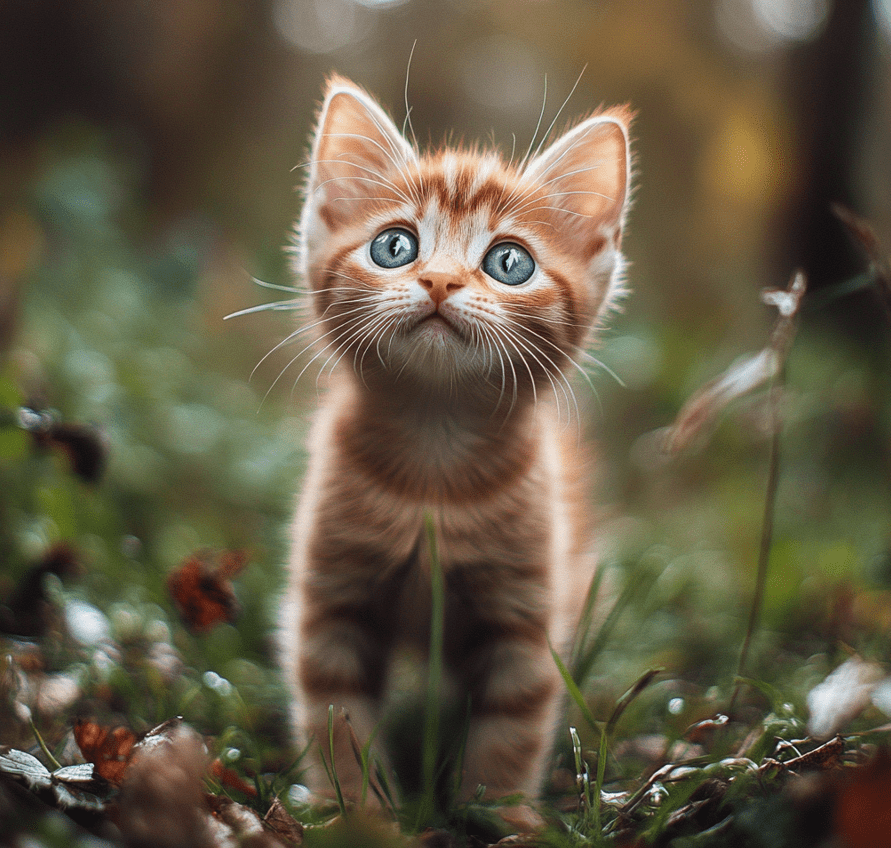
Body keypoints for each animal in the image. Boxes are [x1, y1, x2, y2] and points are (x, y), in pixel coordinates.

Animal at [280, 76, 636, 804]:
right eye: (394, 247)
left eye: (509, 262)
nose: (440, 280)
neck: (433, 465)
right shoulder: (332, 594)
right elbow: (336, 714)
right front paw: (355, 810)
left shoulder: (525, 615)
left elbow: (511, 728)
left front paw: (497, 814)